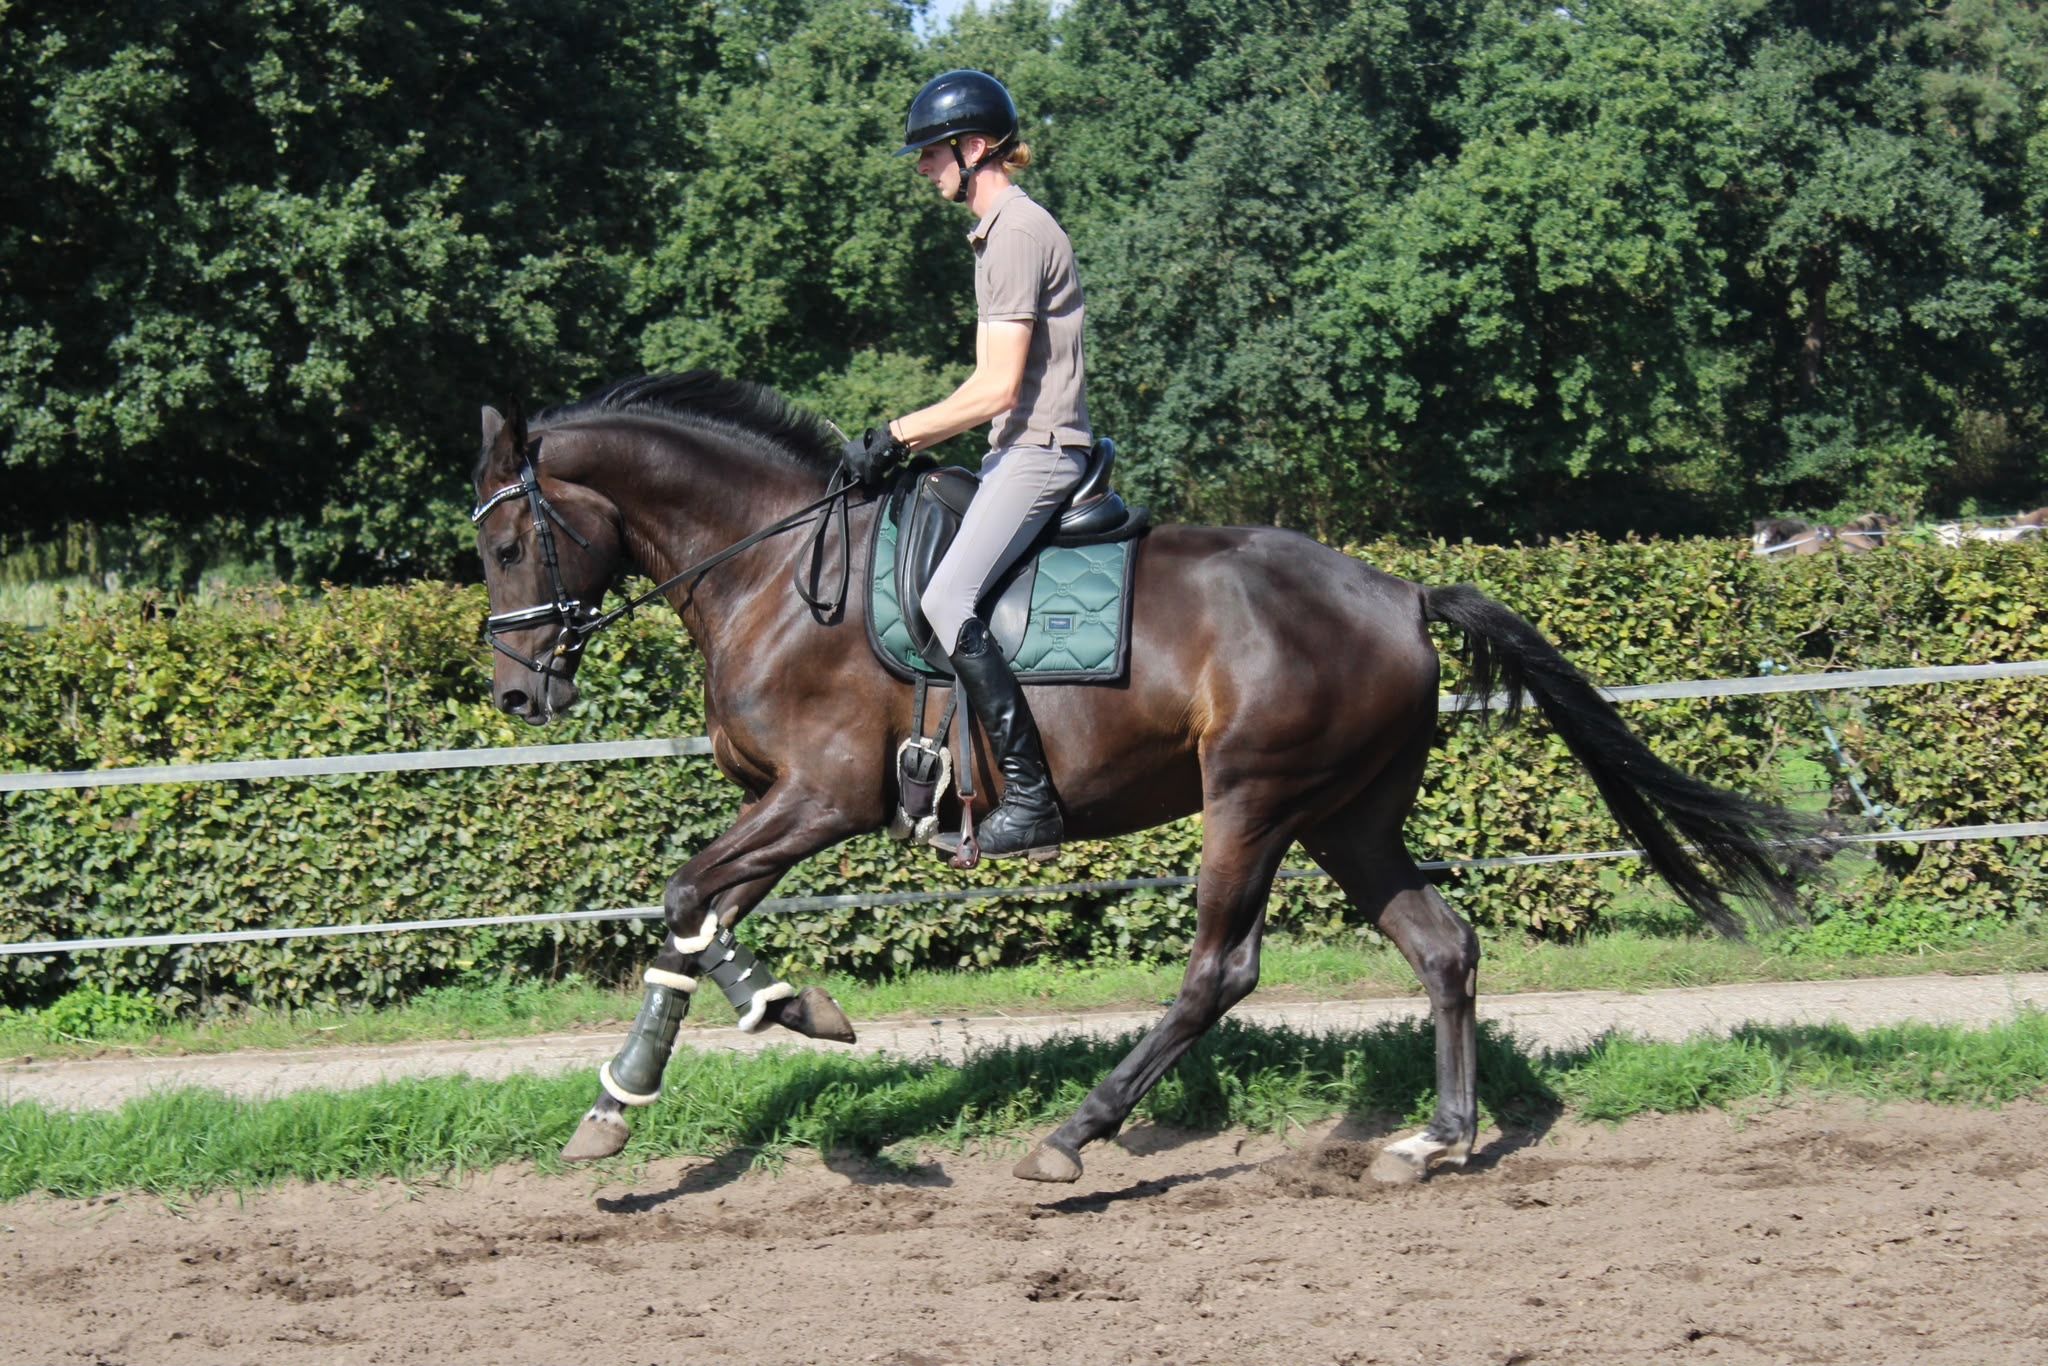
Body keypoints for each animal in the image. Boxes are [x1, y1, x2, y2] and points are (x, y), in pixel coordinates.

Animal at [473, 372, 1825, 1186]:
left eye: (506, 542)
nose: (514, 695)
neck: (770, 566)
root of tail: (1399, 592)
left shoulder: (821, 798)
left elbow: (684, 893)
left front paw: (782, 1018)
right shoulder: (783, 806)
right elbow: (694, 915)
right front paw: (646, 1085)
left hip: (1253, 802)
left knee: (1218, 971)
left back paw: (1075, 1134)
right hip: (1348, 818)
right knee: (1442, 946)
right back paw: (1432, 1140)